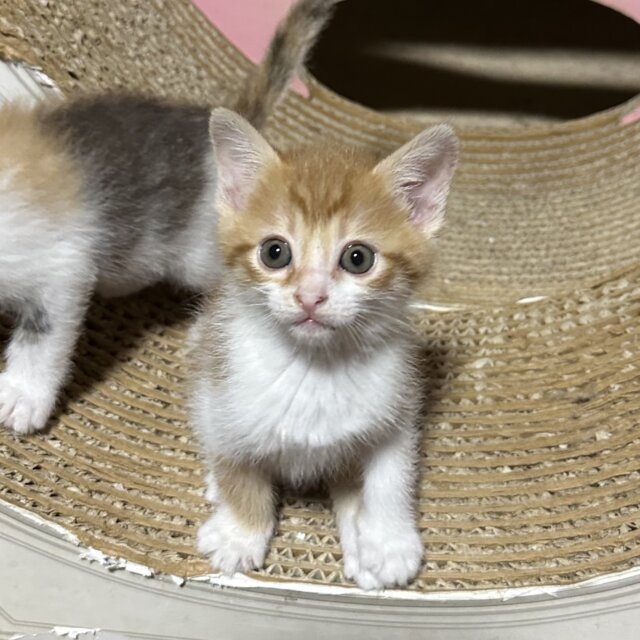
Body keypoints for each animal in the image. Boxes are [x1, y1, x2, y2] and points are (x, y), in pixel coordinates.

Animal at [189, 107, 458, 589]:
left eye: (358, 258)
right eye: (274, 252)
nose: (310, 297)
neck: (315, 367)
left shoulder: (396, 405)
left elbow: (392, 475)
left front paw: (388, 542)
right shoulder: (219, 394)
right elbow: (236, 465)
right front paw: (239, 532)